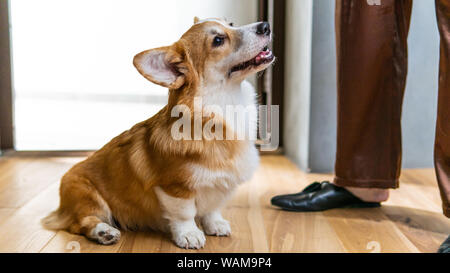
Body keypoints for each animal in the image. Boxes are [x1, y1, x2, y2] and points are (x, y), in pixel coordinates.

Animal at [42, 17, 274, 249]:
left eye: (231, 24)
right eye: (218, 40)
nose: (265, 26)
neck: (225, 107)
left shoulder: (218, 187)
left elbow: (212, 209)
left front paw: (215, 224)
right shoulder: (174, 187)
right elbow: (184, 213)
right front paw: (189, 234)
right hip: (87, 195)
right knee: (80, 223)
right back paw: (103, 231)